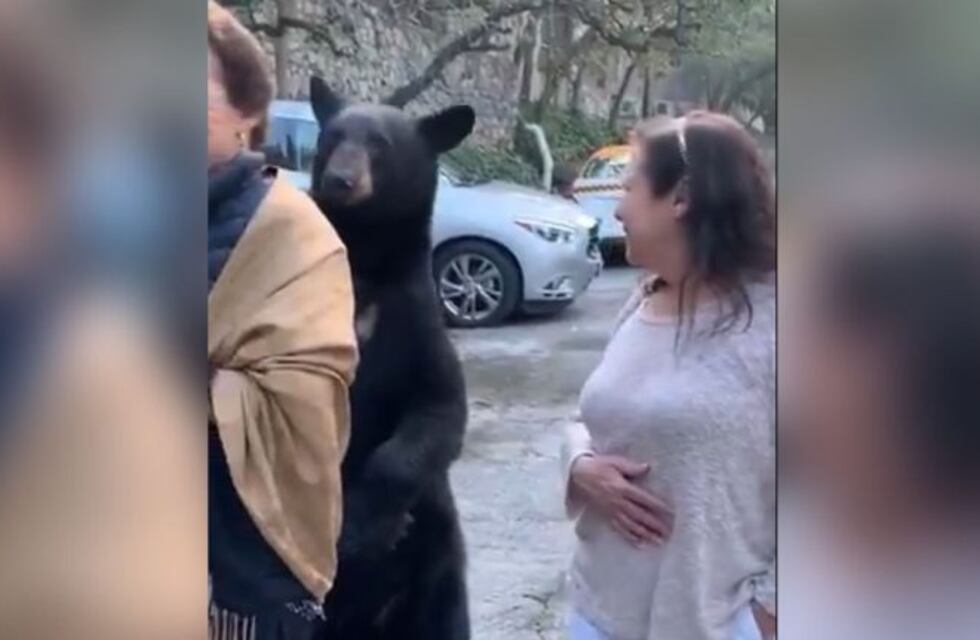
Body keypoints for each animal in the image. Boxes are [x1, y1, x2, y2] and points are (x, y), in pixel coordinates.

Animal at [307, 76, 474, 640]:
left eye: (379, 144)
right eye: (332, 137)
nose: (340, 179)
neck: (365, 263)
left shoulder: (418, 327)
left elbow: (439, 409)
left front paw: (365, 527)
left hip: (437, 563)